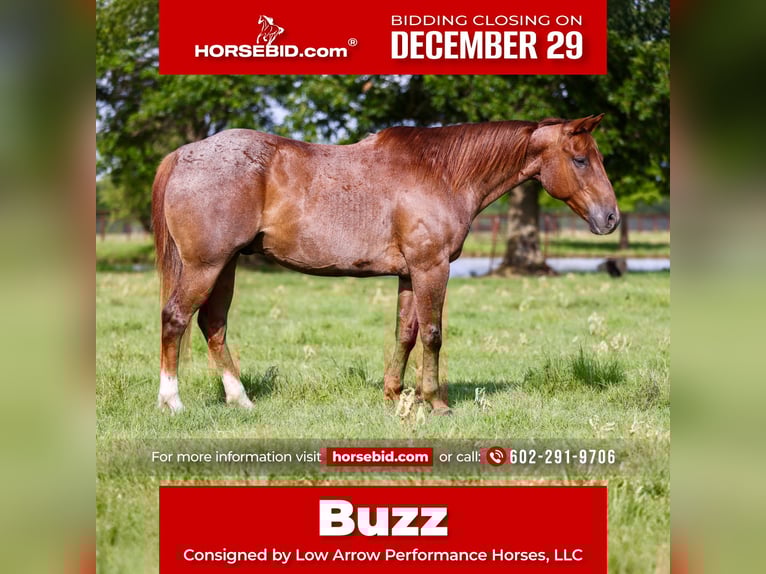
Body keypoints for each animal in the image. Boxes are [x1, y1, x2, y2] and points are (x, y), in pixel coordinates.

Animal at [152, 115, 619, 415]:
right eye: (581, 159)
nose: (611, 217)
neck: (442, 173)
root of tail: (184, 154)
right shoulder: (432, 268)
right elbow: (432, 335)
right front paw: (435, 401)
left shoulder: (409, 273)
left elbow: (405, 334)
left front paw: (395, 395)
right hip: (205, 265)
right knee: (176, 318)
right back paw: (172, 401)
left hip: (225, 266)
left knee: (213, 325)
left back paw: (241, 400)